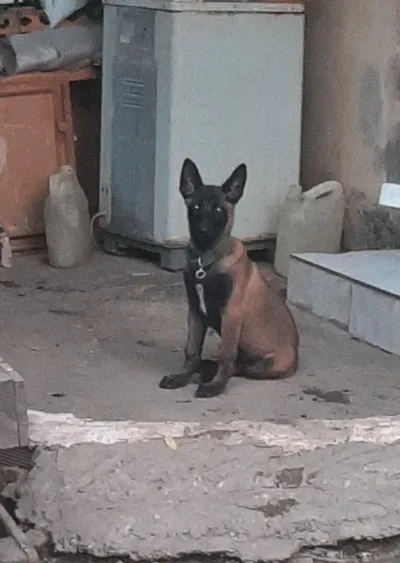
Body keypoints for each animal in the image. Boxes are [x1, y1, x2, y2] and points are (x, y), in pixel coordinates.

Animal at [159, 158, 299, 398]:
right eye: (196, 207)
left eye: (218, 209)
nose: (203, 230)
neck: (206, 261)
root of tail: (296, 357)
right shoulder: (195, 312)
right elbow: (191, 350)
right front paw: (182, 377)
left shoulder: (231, 315)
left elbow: (226, 356)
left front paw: (216, 386)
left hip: (266, 365)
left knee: (239, 366)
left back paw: (210, 372)